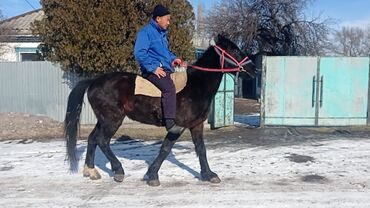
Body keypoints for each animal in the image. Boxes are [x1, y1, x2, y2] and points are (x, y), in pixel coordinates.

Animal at [64, 35, 254, 186]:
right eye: (235, 50)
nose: (253, 68)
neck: (196, 85)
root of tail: (94, 81)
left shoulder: (196, 125)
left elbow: (201, 149)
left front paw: (208, 174)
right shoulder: (178, 127)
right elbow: (165, 149)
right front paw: (153, 175)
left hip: (103, 120)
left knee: (92, 139)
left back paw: (91, 171)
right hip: (112, 120)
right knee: (102, 141)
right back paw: (118, 171)